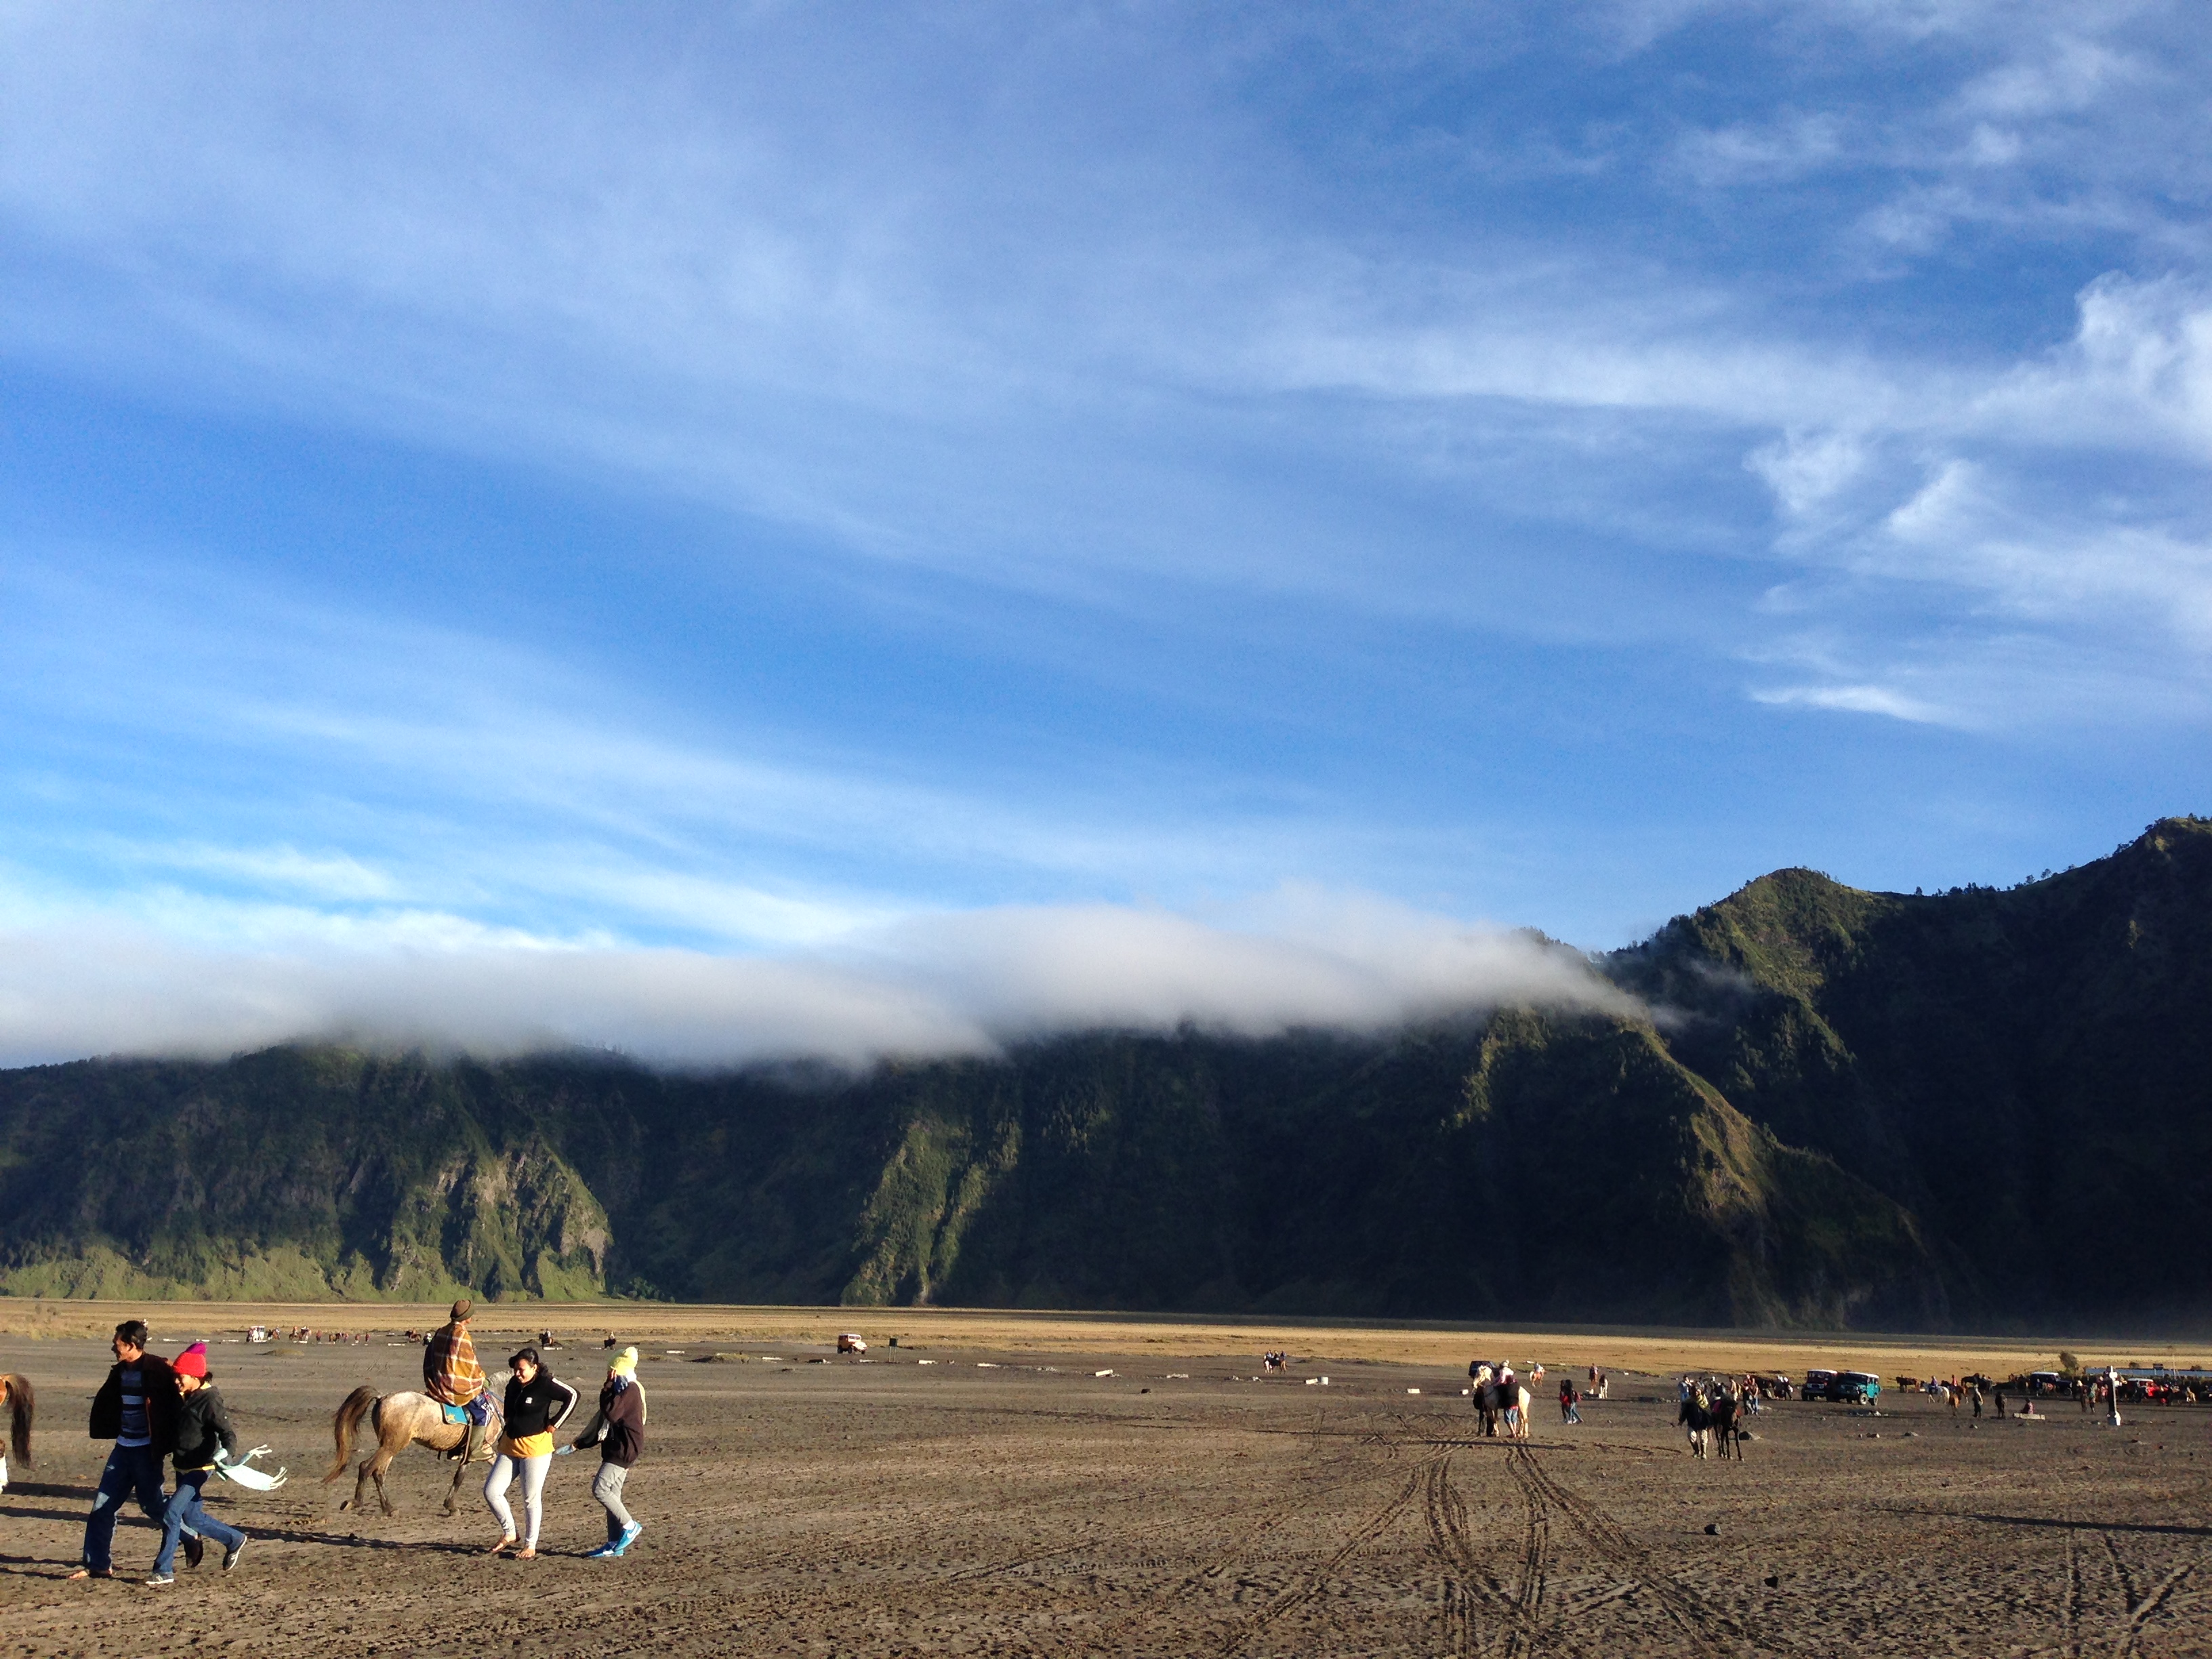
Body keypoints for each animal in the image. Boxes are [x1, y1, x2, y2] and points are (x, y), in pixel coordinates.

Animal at [323, 1389, 495, 1521]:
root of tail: (382, 1397)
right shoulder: (482, 1448)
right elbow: (462, 1477)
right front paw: (452, 1507)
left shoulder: (476, 1452)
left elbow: (460, 1477)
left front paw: (451, 1506)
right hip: (393, 1445)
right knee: (366, 1467)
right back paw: (356, 1502)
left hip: (389, 1446)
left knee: (378, 1473)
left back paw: (389, 1508)